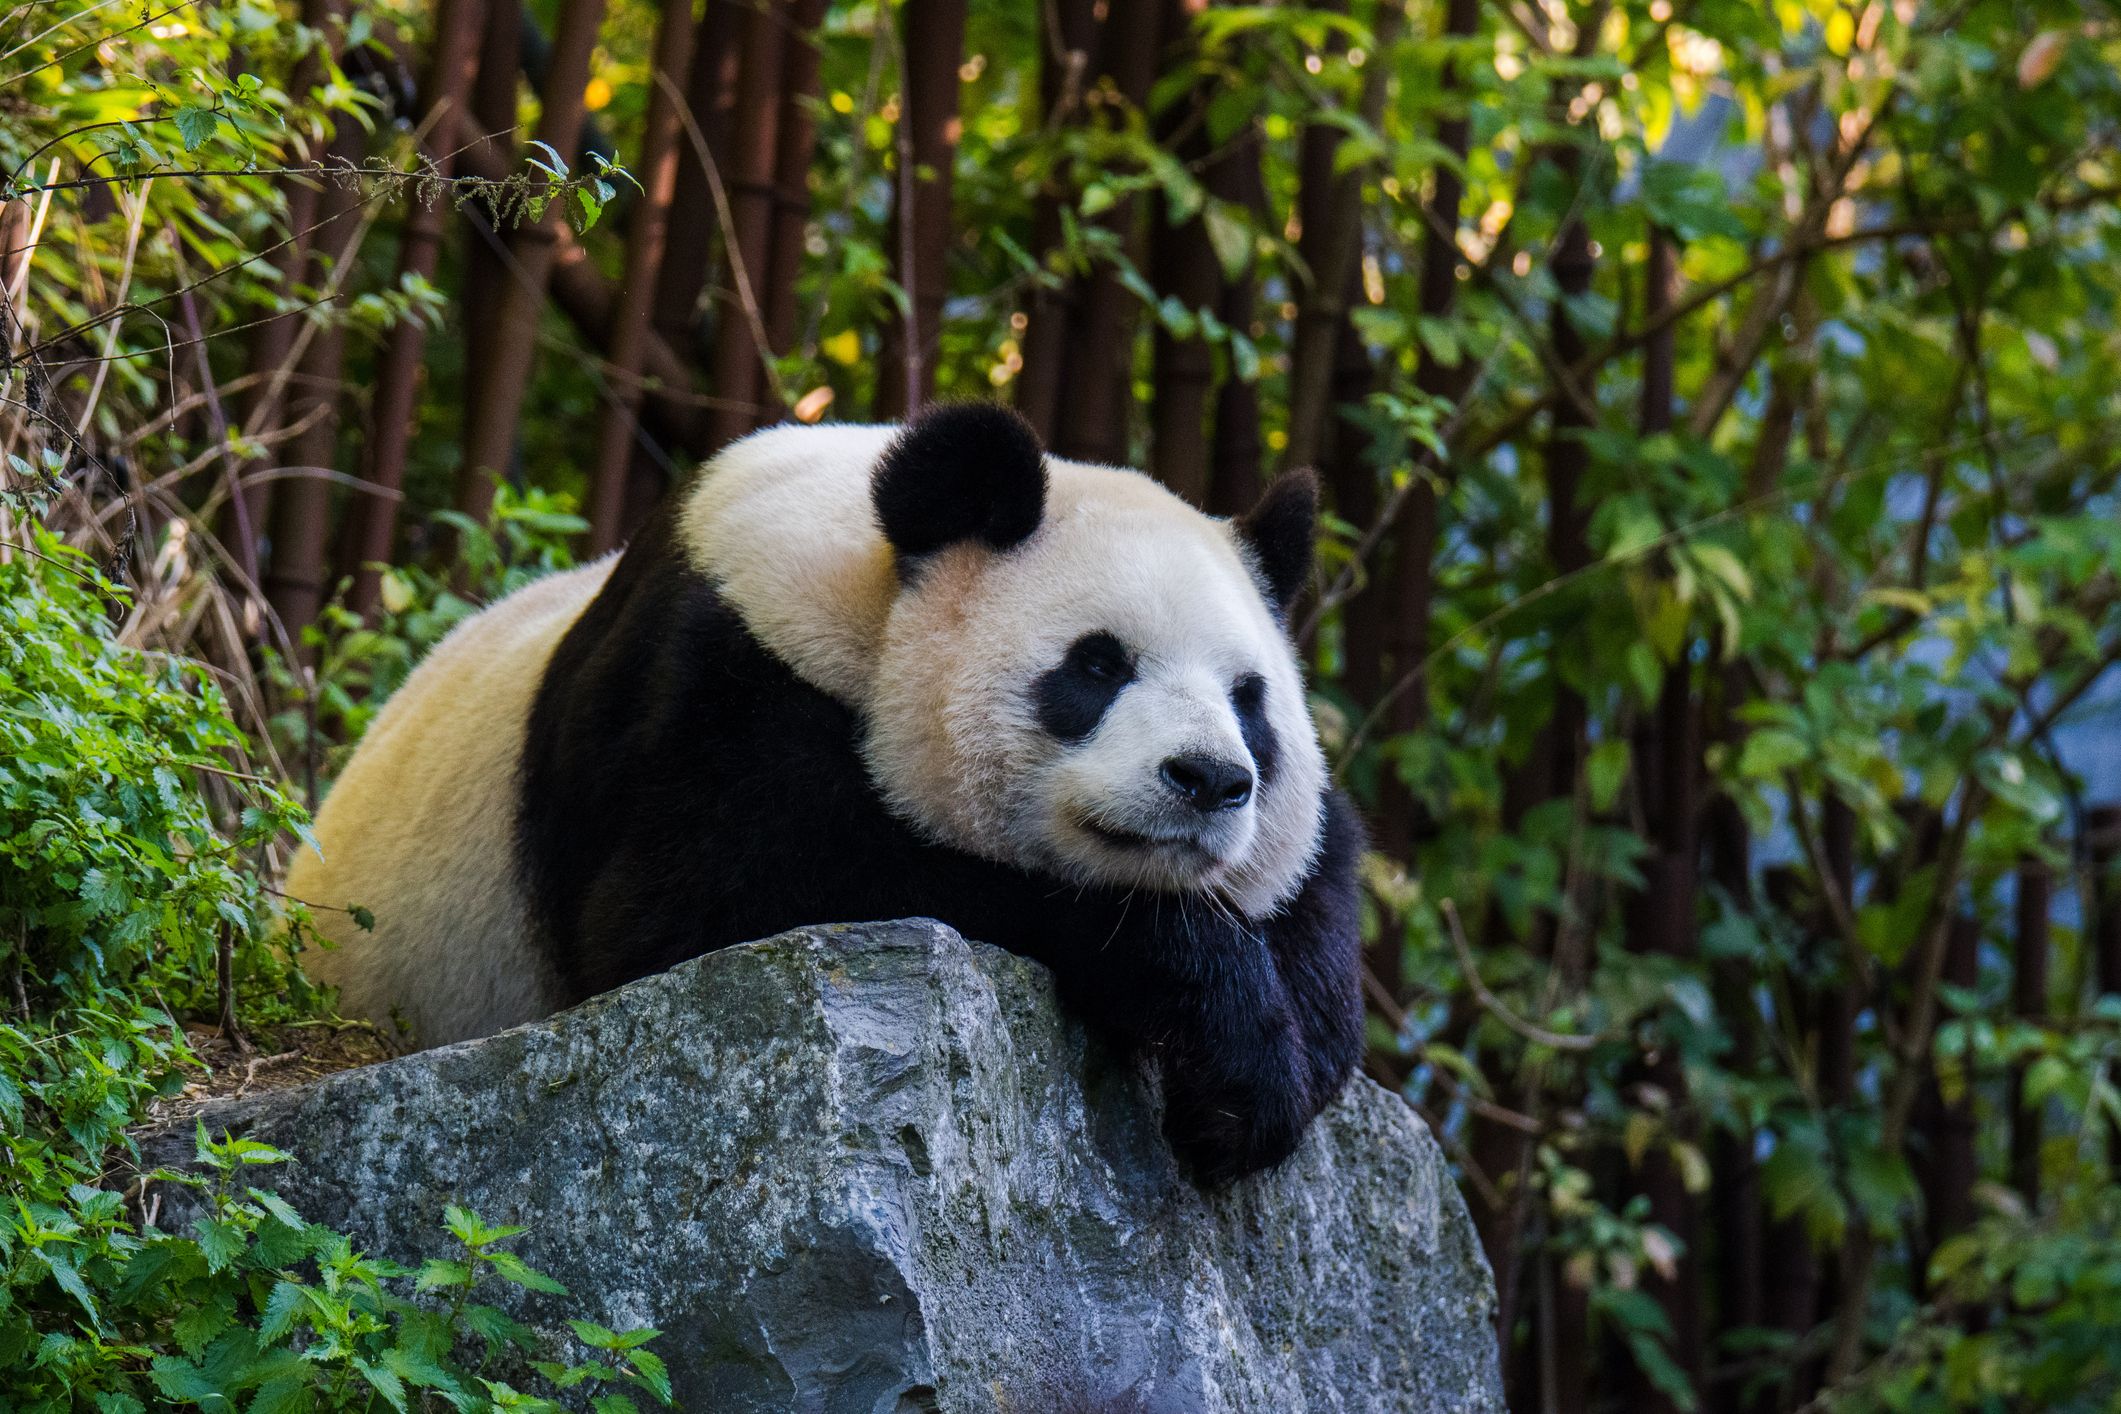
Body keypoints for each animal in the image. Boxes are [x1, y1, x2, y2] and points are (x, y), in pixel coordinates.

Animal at [288, 403, 1364, 1182]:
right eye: (1097, 666)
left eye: (1249, 699)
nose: (1209, 779)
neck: (868, 591)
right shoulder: (705, 682)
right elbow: (728, 904)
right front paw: (1220, 1022)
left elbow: (1319, 882)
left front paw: (1262, 1072)